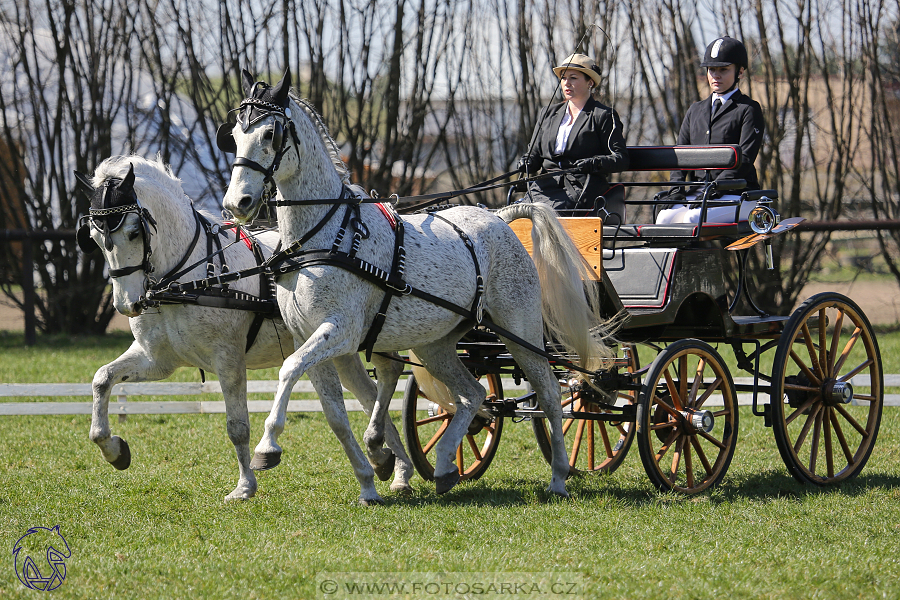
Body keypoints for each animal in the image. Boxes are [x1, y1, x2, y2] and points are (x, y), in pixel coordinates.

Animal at [77, 154, 414, 502]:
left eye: (133, 232)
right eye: (94, 238)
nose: (127, 304)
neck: (188, 277)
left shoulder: (228, 359)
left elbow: (237, 427)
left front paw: (244, 486)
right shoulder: (157, 360)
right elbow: (102, 379)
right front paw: (113, 449)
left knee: (388, 376)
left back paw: (396, 466)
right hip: (341, 349)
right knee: (370, 393)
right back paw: (391, 464)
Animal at [218, 68, 612, 504]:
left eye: (270, 133)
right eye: (233, 134)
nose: (237, 203)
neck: (325, 235)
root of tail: (500, 218)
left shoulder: (340, 331)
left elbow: (288, 371)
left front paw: (267, 447)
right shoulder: (308, 336)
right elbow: (332, 412)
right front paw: (372, 469)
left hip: (520, 331)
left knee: (550, 393)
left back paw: (558, 476)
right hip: (435, 344)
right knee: (473, 394)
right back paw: (444, 465)